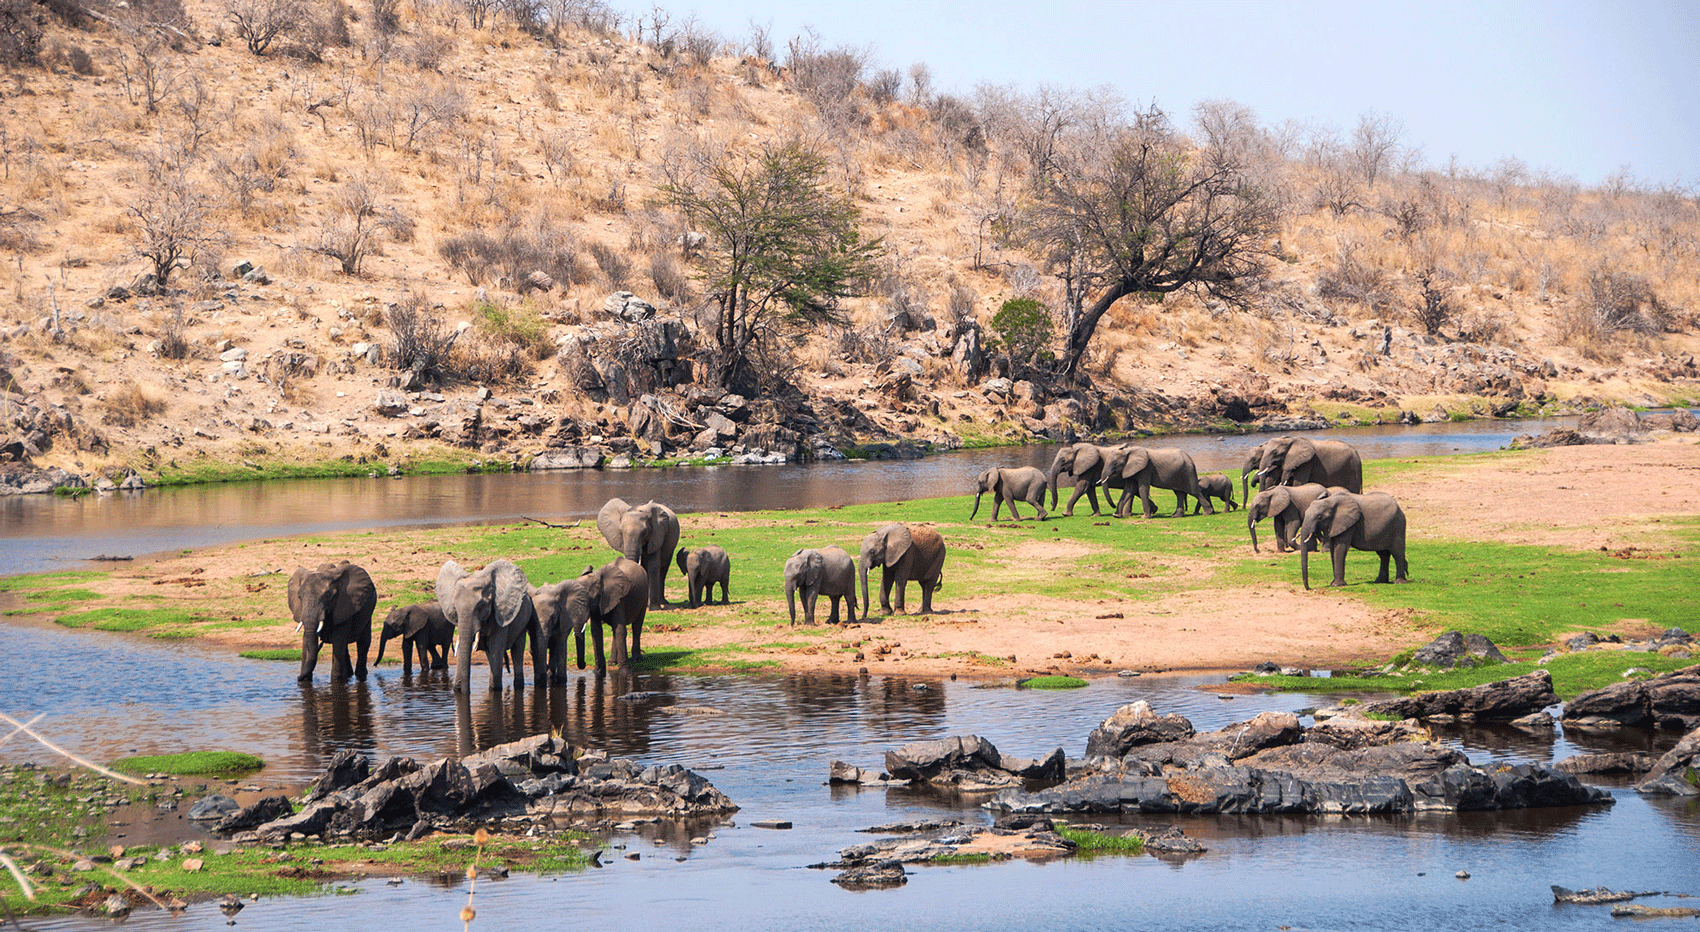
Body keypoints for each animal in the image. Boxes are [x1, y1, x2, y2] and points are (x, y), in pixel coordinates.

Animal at [437, 558, 545, 693]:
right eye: (455, 607)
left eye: (482, 605)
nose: (459, 688)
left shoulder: (500, 613)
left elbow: (496, 647)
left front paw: (495, 689)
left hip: (523, 617)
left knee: (516, 651)